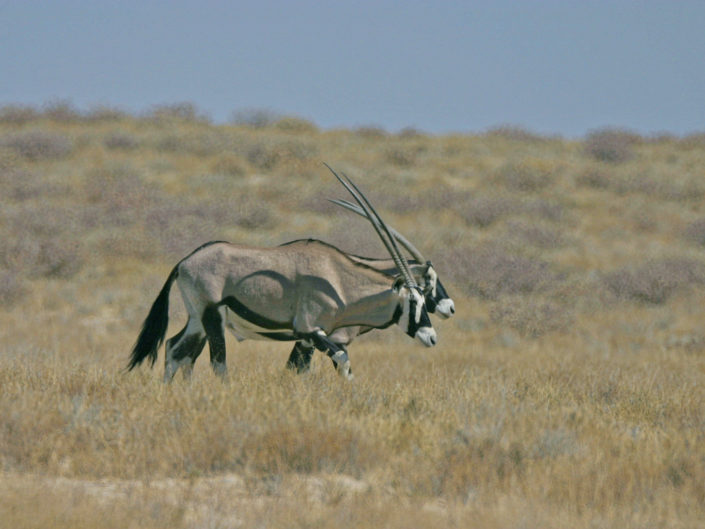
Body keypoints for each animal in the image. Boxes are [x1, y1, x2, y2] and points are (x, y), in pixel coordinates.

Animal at [126, 165, 434, 380]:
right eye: (413, 300)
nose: (432, 337)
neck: (339, 279)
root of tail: (184, 262)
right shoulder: (311, 331)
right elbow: (339, 362)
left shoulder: (311, 339)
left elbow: (306, 369)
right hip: (211, 316)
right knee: (216, 363)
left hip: (197, 319)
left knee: (174, 349)